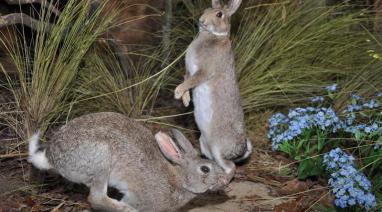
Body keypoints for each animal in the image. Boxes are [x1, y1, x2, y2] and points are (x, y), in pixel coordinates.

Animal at [28, 112, 230, 211]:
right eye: (205, 169)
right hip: (101, 160)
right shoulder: (140, 199)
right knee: (96, 198)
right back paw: (124, 208)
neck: (179, 180)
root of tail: (51, 156)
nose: (226, 180)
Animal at [175, 0, 252, 178]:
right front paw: (185, 100)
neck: (212, 36)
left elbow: (192, 81)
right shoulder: (189, 70)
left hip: (218, 148)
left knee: (231, 167)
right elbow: (187, 80)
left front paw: (177, 92)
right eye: (206, 9)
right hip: (205, 145)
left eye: (219, 14)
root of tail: (240, 150)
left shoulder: (204, 71)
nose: (201, 20)